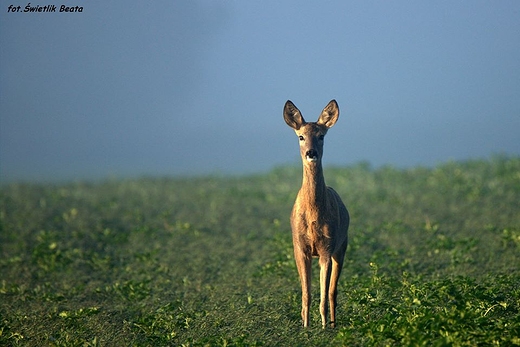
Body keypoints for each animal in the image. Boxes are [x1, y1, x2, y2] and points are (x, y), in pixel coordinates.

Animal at [282, 100, 352, 328]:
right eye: (301, 136)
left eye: (321, 136)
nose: (311, 153)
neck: (313, 215)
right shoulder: (300, 247)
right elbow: (306, 295)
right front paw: (305, 326)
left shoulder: (326, 248)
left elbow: (323, 293)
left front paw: (322, 327)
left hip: (342, 246)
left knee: (332, 292)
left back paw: (333, 323)